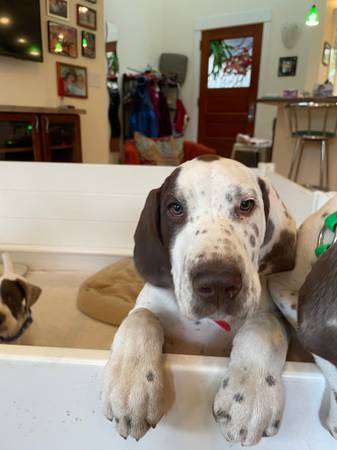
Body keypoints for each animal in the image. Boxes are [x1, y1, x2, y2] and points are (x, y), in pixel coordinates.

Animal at [101, 156, 294, 444]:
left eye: (246, 204)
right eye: (176, 208)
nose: (217, 283)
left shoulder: (269, 314)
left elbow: (265, 326)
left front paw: (251, 393)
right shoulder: (147, 307)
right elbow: (141, 317)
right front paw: (131, 385)